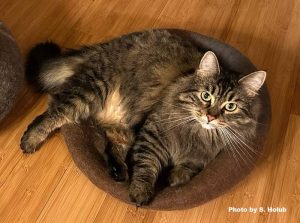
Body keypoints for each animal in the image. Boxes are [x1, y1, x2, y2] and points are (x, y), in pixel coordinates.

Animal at [22, 29, 204, 181]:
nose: (207, 116)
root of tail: (103, 46)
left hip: (123, 125)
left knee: (112, 146)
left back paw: (118, 171)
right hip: (90, 90)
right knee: (51, 114)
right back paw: (30, 140)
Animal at [127, 51, 266, 205]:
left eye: (231, 106)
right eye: (206, 96)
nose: (210, 117)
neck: (198, 133)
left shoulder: (202, 158)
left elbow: (189, 166)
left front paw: (176, 177)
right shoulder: (153, 134)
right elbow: (146, 163)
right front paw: (140, 192)